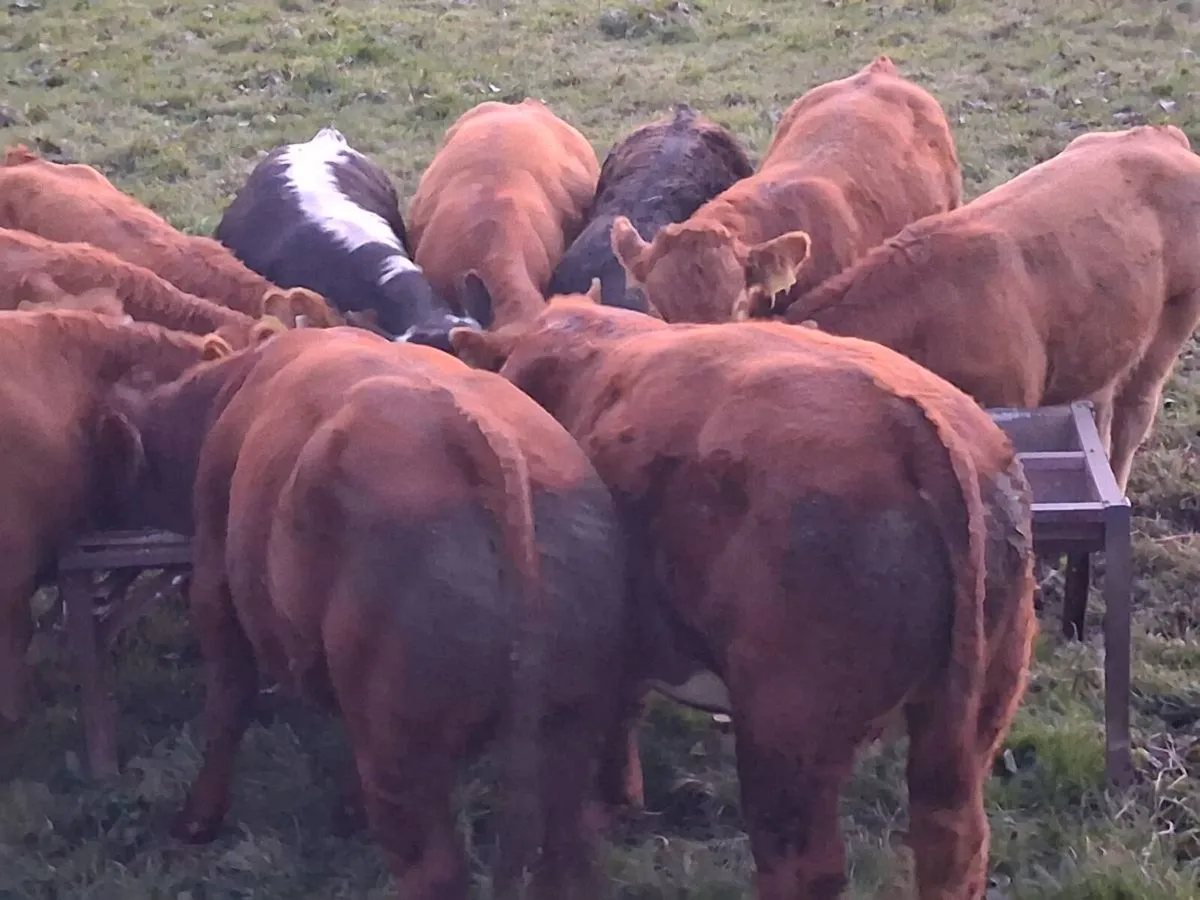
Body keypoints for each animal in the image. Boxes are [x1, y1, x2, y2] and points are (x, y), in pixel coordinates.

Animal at [97, 327, 630, 900]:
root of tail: (479, 436)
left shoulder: (215, 578)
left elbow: (228, 702)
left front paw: (196, 821)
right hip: (568, 724)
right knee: (568, 852)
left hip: (406, 751)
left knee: (435, 871)